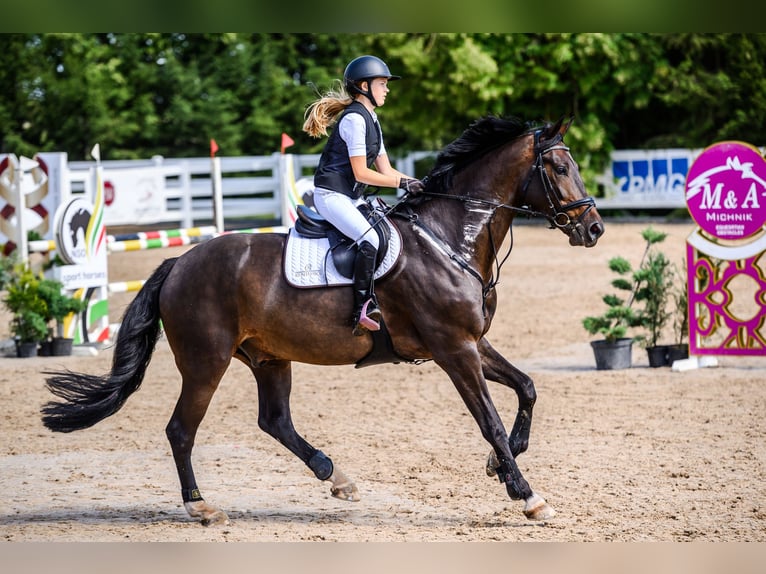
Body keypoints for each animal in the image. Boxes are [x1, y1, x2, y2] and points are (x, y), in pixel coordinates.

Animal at [42, 115, 608, 528]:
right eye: (559, 169)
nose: (594, 229)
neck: (450, 239)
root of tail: (179, 262)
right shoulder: (454, 349)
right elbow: (488, 418)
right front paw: (526, 494)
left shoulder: (471, 343)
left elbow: (528, 387)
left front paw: (500, 463)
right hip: (207, 362)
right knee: (182, 429)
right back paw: (201, 506)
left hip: (268, 357)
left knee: (274, 421)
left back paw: (336, 477)